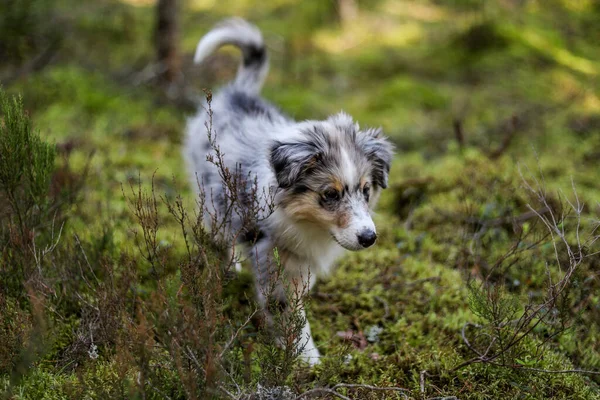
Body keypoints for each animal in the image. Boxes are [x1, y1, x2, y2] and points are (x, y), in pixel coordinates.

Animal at [185, 18, 396, 364]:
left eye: (366, 190)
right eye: (330, 194)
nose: (369, 238)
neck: (306, 224)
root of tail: (239, 92)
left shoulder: (301, 262)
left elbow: (297, 300)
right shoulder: (267, 256)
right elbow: (285, 309)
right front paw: (305, 357)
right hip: (213, 200)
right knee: (222, 234)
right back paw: (230, 267)